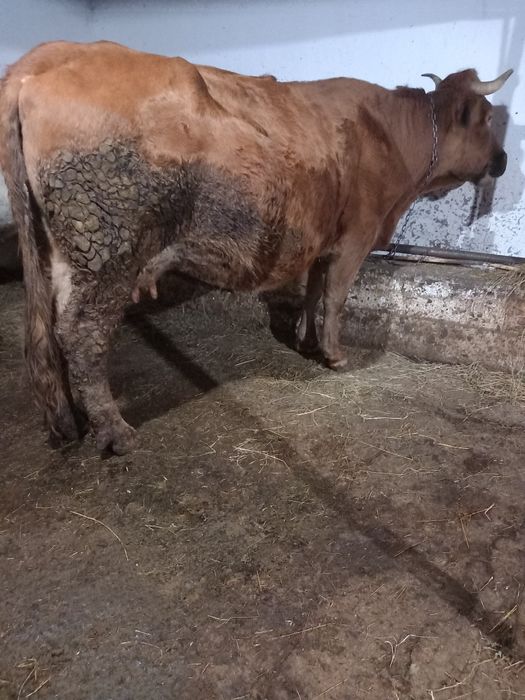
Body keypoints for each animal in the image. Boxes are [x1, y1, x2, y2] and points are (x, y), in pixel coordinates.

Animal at [0, 40, 512, 454]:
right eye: (489, 118)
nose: (504, 160)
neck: (389, 134)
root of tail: (44, 58)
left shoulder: (322, 236)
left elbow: (312, 288)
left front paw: (304, 339)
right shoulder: (357, 236)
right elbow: (335, 295)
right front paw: (334, 354)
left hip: (57, 252)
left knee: (48, 332)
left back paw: (67, 421)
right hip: (107, 248)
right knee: (82, 333)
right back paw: (113, 430)